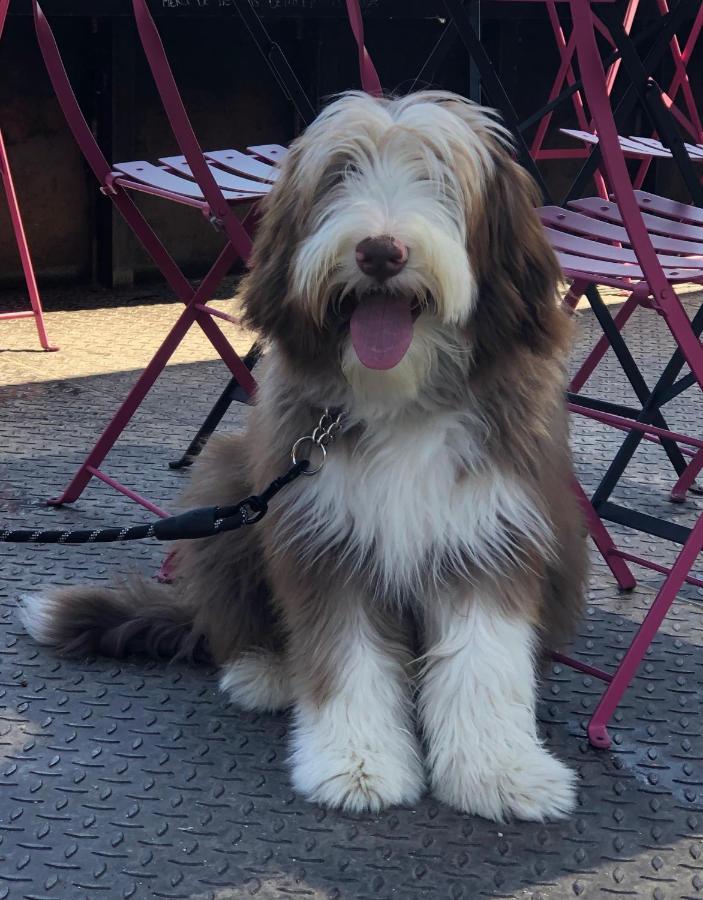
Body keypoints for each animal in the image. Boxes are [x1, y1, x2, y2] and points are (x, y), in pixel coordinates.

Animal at [20, 91, 588, 824]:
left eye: (438, 177)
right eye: (338, 177)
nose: (380, 251)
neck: (400, 398)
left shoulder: (488, 526)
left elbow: (482, 657)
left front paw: (500, 772)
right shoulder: (323, 534)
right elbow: (345, 657)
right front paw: (358, 764)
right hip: (226, 487)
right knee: (234, 621)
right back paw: (265, 670)